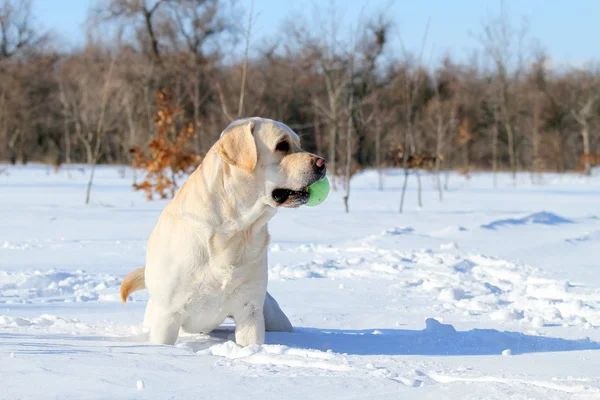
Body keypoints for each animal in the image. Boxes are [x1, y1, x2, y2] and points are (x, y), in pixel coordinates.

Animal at [120, 117, 328, 346]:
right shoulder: (167, 316)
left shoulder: (250, 310)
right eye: (282, 145)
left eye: (298, 143)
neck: (237, 229)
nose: (323, 163)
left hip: (275, 317)